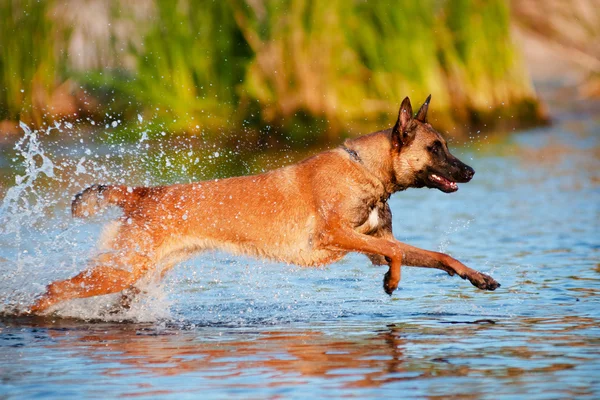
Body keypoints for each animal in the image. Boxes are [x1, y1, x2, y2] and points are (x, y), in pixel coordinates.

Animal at [30, 95, 500, 314]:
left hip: (134, 277)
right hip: (120, 270)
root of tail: (143, 193)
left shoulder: (370, 241)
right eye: (436, 148)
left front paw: (477, 276)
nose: (472, 172)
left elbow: (437, 254)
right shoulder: (336, 234)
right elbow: (395, 252)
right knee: (53, 290)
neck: (364, 169)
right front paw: (392, 281)